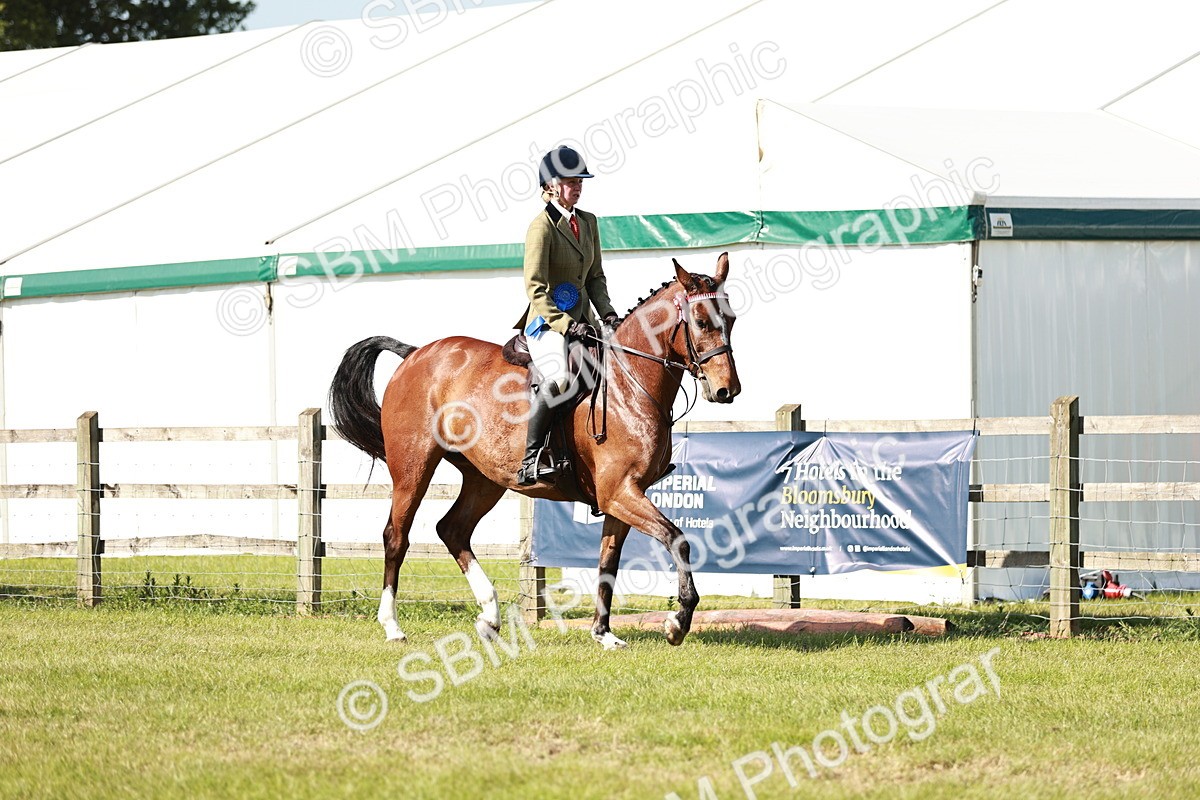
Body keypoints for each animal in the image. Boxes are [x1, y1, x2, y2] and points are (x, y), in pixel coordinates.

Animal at [328, 252, 740, 648]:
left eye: (731, 319)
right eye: (701, 322)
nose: (727, 390)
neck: (628, 384)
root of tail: (415, 354)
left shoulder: (620, 496)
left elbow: (608, 561)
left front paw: (603, 633)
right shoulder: (619, 492)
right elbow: (677, 539)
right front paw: (678, 623)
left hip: (485, 477)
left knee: (453, 529)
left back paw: (490, 616)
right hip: (413, 465)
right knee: (396, 536)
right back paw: (393, 626)